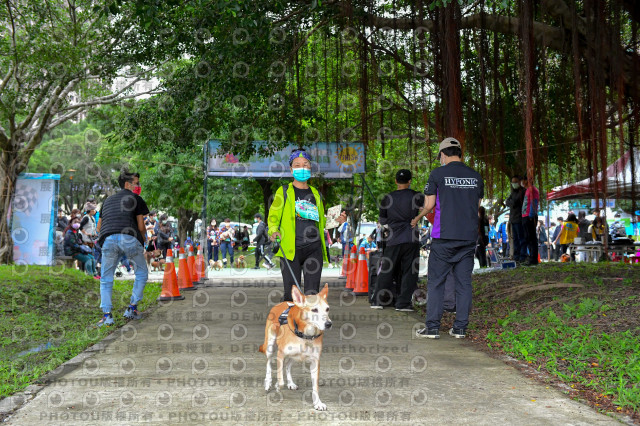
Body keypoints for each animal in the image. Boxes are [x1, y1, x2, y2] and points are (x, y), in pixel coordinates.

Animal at [258, 284, 332, 412]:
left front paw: (317, 403)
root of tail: (282, 303)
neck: (306, 336)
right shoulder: (280, 354)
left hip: (295, 355)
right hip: (270, 345)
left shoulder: (315, 362)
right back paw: (268, 382)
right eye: (314, 310)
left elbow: (315, 387)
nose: (329, 324)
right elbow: (280, 380)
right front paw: (277, 385)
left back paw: (290, 383)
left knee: (288, 365)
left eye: (327, 309)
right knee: (268, 363)